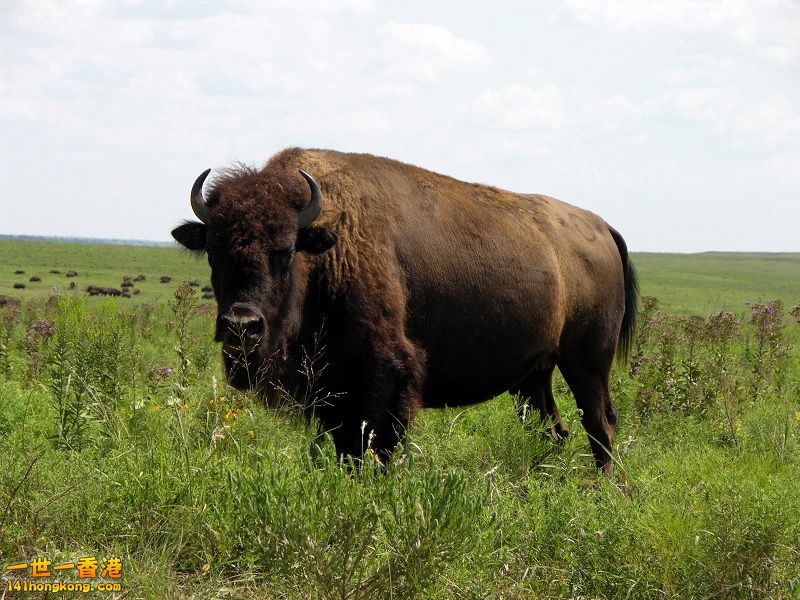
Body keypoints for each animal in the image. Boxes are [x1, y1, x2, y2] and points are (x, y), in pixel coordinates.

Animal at [172, 149, 638, 474]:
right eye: (213, 252)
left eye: (285, 252)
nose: (241, 325)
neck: (329, 246)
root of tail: (600, 225)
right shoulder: (333, 392)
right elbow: (346, 446)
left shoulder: (385, 374)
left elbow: (370, 446)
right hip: (533, 375)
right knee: (553, 429)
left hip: (587, 362)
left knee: (600, 423)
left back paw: (607, 490)